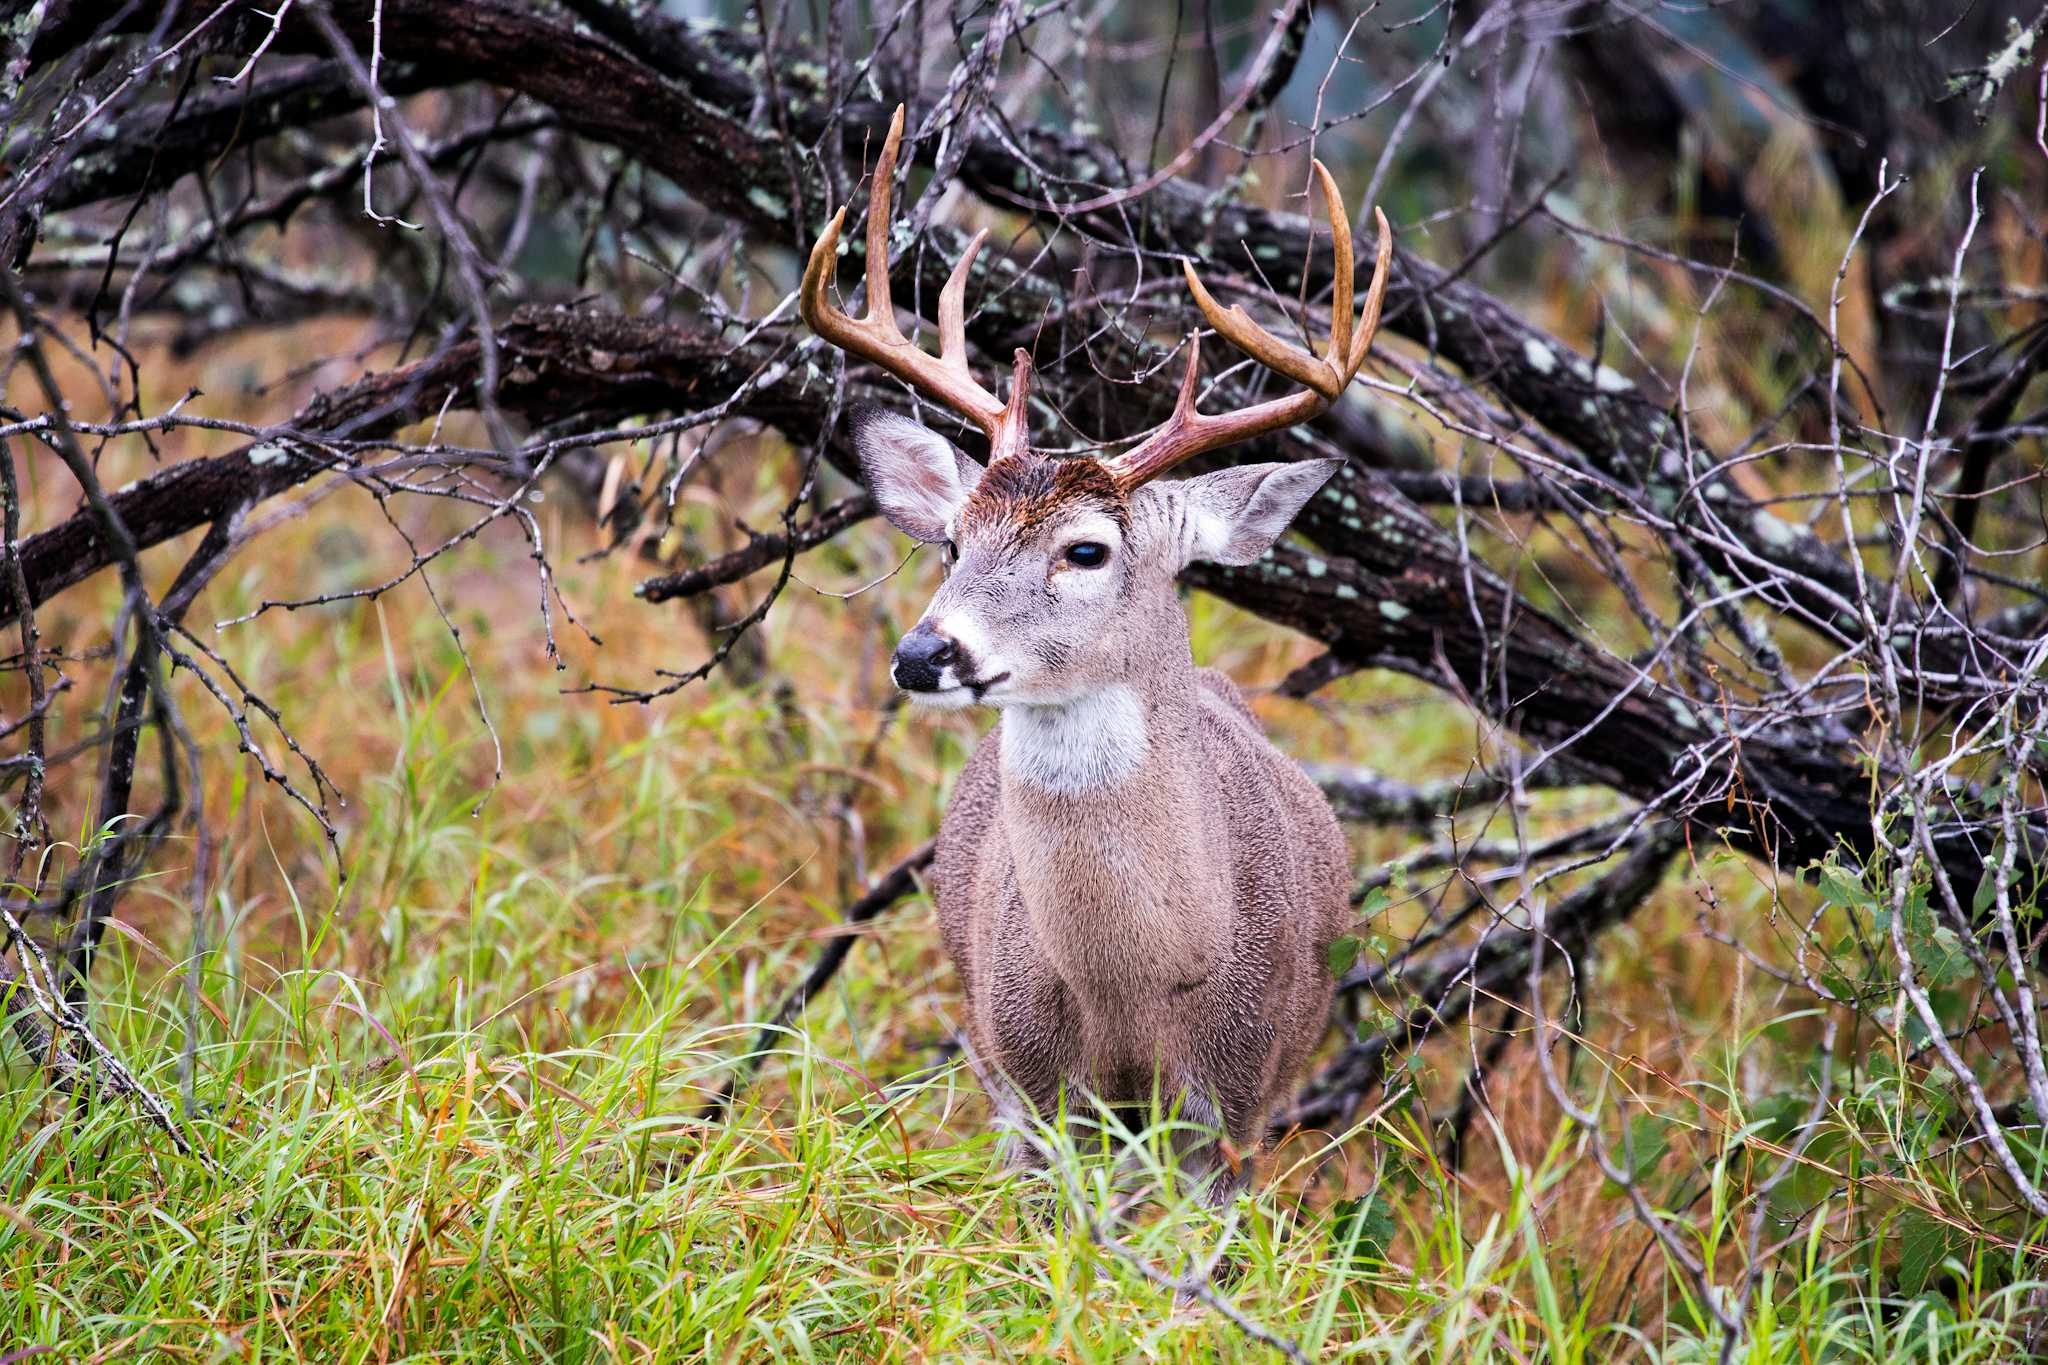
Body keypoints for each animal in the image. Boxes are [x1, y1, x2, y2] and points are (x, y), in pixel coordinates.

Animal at [802, 109, 1392, 1203]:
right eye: (952, 542)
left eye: (1086, 550)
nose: (922, 652)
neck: (1140, 993)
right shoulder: (1032, 1094)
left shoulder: (1235, 1112)